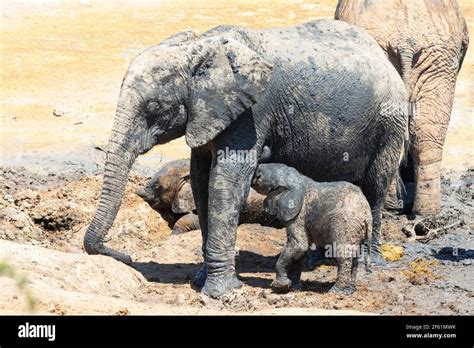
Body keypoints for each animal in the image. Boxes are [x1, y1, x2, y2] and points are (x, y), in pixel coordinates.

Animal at [254, 163, 372, 294]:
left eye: (260, 174)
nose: (256, 169)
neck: (297, 178)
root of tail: (367, 214)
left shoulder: (299, 214)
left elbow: (299, 245)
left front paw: (280, 286)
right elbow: (301, 251)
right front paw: (295, 288)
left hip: (345, 224)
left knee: (343, 254)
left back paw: (335, 291)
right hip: (357, 228)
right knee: (355, 256)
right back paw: (349, 290)